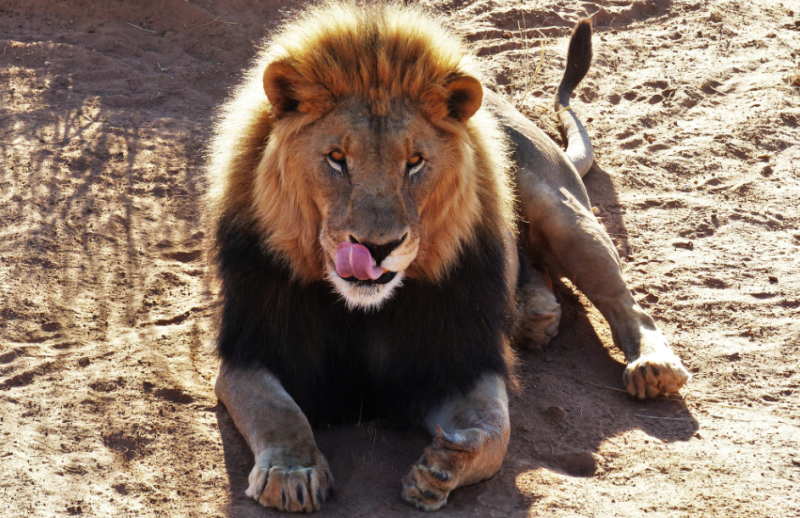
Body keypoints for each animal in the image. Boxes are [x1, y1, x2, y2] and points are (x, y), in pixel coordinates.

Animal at [203, 2, 692, 512]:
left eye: (415, 162)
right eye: (336, 158)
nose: (377, 248)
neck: (362, 311)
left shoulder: (462, 360)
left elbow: (495, 430)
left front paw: (444, 466)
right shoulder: (248, 353)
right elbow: (277, 410)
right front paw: (291, 472)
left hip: (562, 214)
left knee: (627, 303)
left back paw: (652, 366)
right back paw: (534, 315)